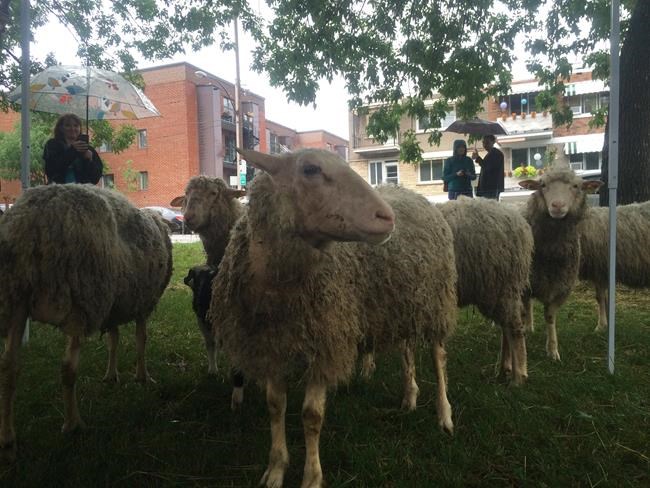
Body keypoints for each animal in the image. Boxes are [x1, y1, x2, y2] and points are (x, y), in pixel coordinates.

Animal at [0, 184, 172, 455]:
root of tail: (32, 224)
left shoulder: (114, 307)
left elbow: (114, 340)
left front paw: (111, 375)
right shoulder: (142, 303)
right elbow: (140, 340)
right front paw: (142, 376)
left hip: (16, 297)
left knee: (8, 367)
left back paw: (7, 437)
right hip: (81, 300)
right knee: (67, 368)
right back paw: (73, 424)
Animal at [210, 148, 458, 488]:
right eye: (310, 169)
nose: (387, 217)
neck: (280, 289)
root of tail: (414, 196)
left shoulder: (325, 342)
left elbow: (311, 415)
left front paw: (312, 477)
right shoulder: (270, 346)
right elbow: (275, 406)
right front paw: (276, 468)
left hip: (436, 300)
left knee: (438, 357)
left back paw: (444, 415)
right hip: (402, 302)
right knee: (407, 350)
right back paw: (409, 397)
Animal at [437, 197, 533, 385]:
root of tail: (519, 223)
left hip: (498, 286)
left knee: (514, 328)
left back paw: (518, 378)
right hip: (502, 290)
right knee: (507, 327)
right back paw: (505, 369)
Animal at [519, 166, 603, 360]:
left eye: (576, 186)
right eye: (542, 185)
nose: (557, 205)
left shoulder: (561, 287)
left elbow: (550, 317)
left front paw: (552, 350)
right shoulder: (526, 284)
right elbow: (524, 312)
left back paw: (530, 327)